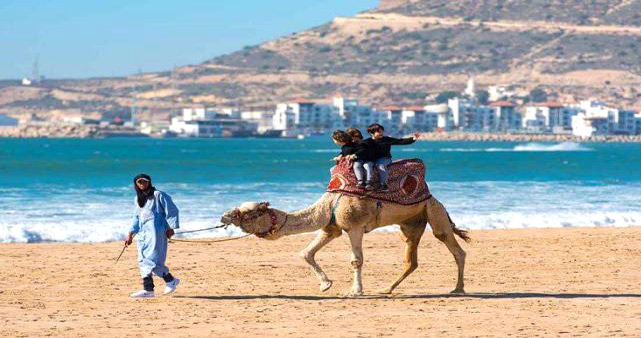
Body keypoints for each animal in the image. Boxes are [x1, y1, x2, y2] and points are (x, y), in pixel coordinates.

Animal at [220, 191, 470, 298]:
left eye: (250, 212)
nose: (225, 216)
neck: (328, 205)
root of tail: (437, 199)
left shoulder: (355, 227)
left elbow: (356, 260)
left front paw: (355, 290)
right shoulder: (331, 227)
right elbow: (306, 253)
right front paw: (325, 284)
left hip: (434, 212)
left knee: (454, 247)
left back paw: (458, 288)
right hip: (411, 223)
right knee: (411, 260)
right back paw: (387, 289)